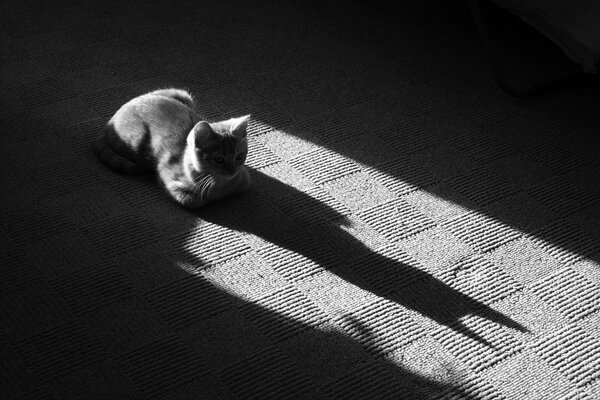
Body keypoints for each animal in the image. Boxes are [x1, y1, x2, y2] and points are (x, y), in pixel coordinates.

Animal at [93, 88, 251, 209]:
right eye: (219, 159)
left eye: (239, 156)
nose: (232, 171)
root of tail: (109, 121)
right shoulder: (169, 182)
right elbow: (194, 201)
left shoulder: (244, 178)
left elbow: (245, 183)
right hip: (136, 140)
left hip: (183, 94)